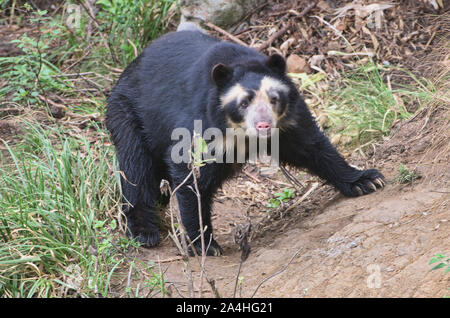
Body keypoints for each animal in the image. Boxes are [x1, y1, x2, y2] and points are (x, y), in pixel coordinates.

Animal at [104, 28, 384, 256]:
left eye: (274, 98)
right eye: (244, 102)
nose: (264, 125)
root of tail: (125, 73)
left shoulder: (290, 120)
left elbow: (313, 146)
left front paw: (366, 180)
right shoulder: (200, 124)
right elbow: (191, 174)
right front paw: (204, 244)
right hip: (127, 115)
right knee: (136, 169)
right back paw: (145, 231)